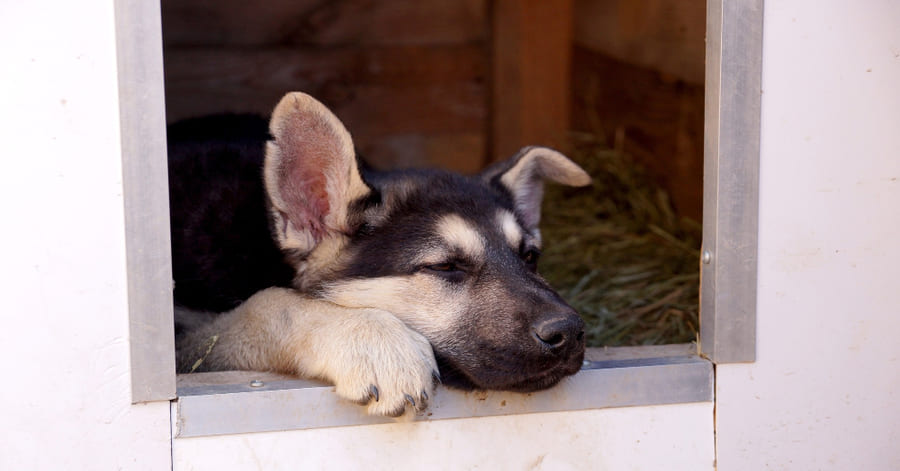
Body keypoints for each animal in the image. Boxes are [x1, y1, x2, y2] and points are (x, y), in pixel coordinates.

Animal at [170, 92, 596, 416]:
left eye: (530, 256)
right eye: (446, 266)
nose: (571, 331)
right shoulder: (184, 337)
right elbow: (268, 303)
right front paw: (375, 340)